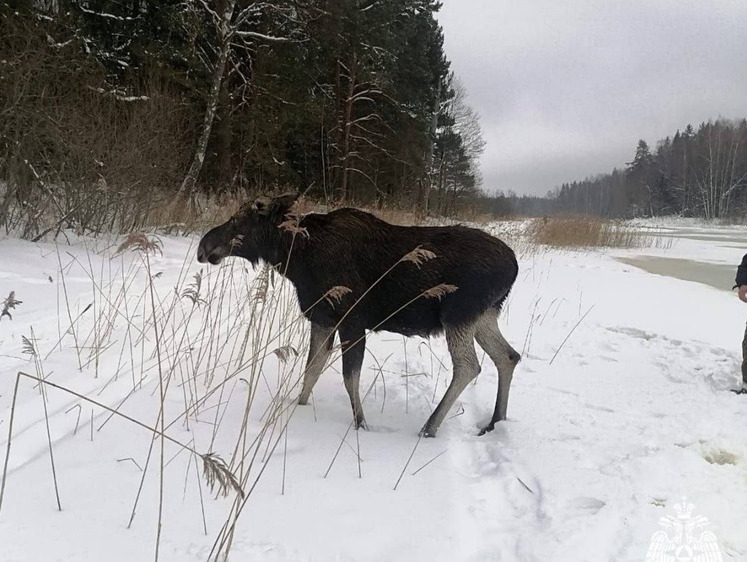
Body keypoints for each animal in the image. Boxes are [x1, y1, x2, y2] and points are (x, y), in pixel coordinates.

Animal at [199, 194, 520, 438]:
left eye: (238, 219)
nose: (203, 247)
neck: (298, 259)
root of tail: (514, 267)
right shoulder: (322, 318)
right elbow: (312, 368)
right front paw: (299, 407)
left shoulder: (351, 320)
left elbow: (349, 376)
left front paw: (361, 424)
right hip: (483, 315)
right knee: (508, 356)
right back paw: (494, 422)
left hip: (459, 313)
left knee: (468, 366)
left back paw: (428, 428)